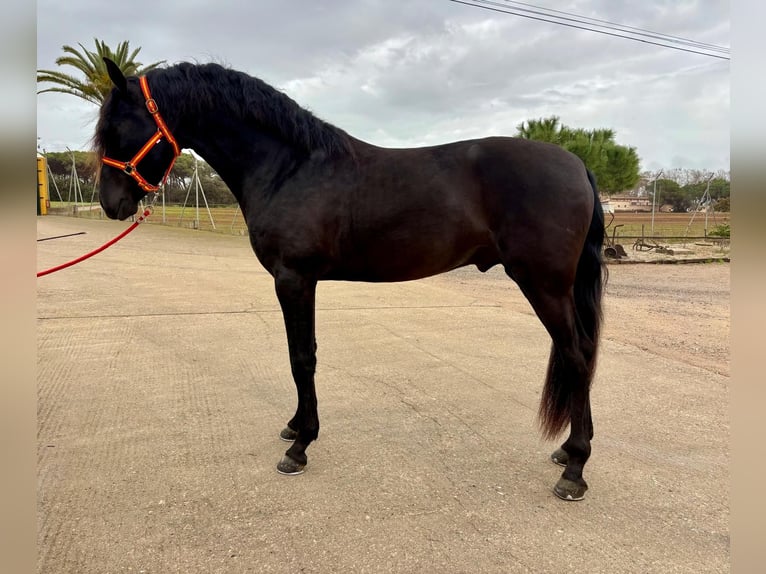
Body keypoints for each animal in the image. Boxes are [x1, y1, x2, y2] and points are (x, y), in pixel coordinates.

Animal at [94, 58, 606, 501]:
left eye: (118, 129)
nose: (111, 204)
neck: (291, 167)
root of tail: (577, 165)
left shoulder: (294, 279)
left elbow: (301, 358)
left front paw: (300, 448)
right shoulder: (300, 282)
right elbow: (301, 353)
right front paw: (295, 426)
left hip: (544, 285)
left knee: (578, 356)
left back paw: (575, 470)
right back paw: (566, 452)